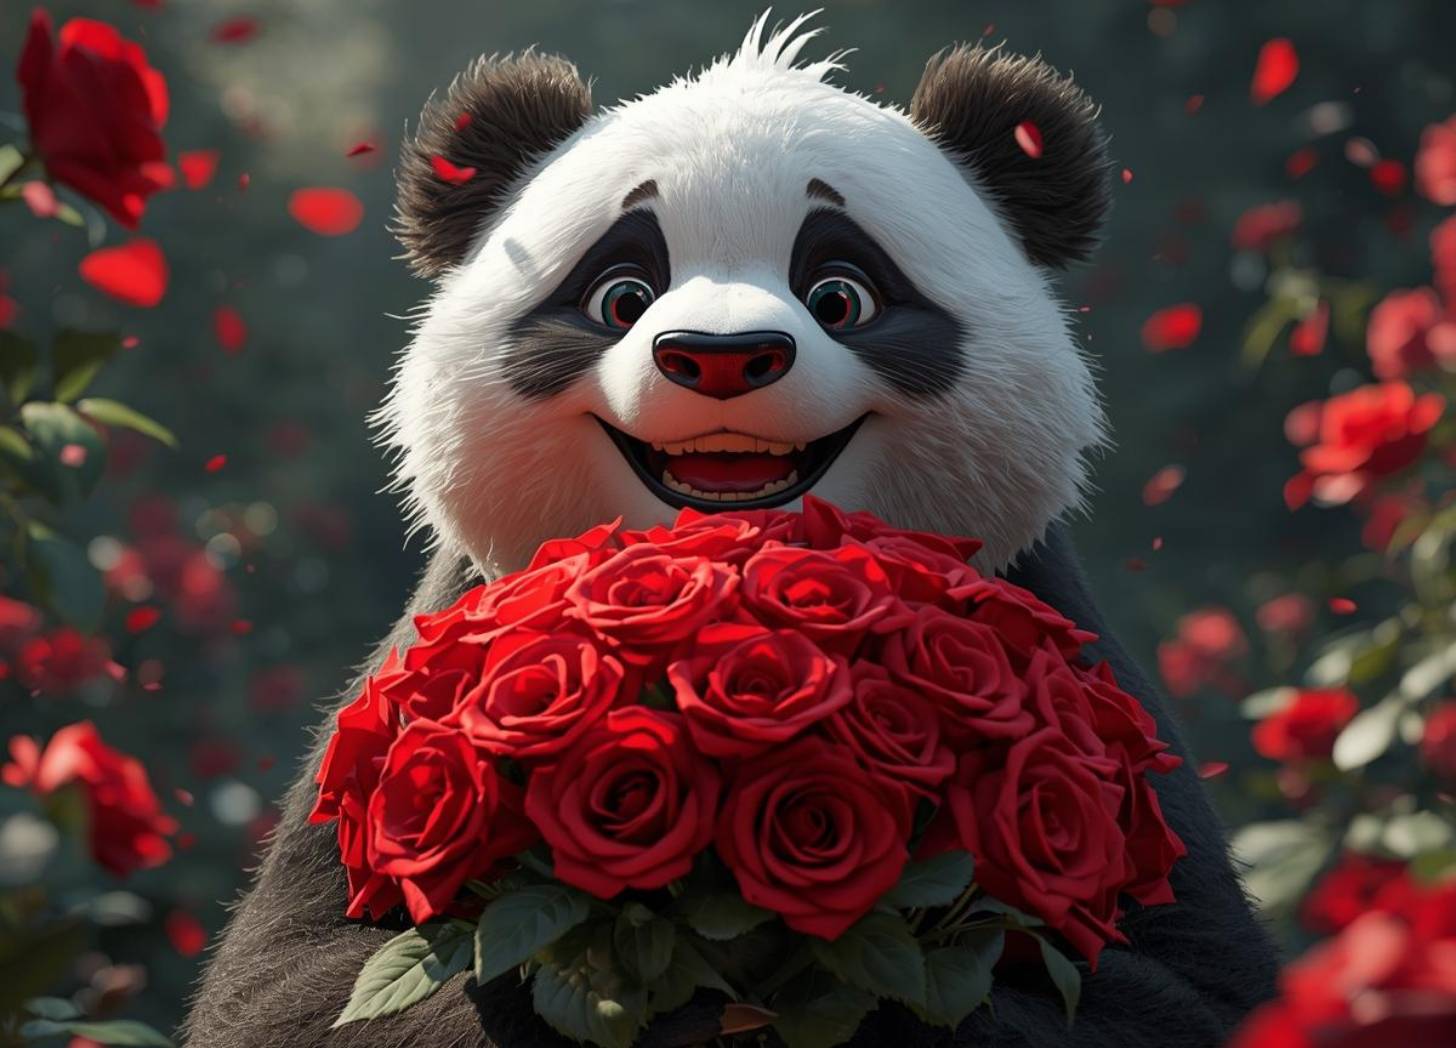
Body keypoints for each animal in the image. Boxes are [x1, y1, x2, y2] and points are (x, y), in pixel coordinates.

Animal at [182, 14, 1278, 1048]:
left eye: (841, 293)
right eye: (621, 292)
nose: (718, 355)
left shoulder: (1066, 655)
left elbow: (1186, 989)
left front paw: (827, 991)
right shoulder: (419, 678)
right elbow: (299, 985)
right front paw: (643, 986)